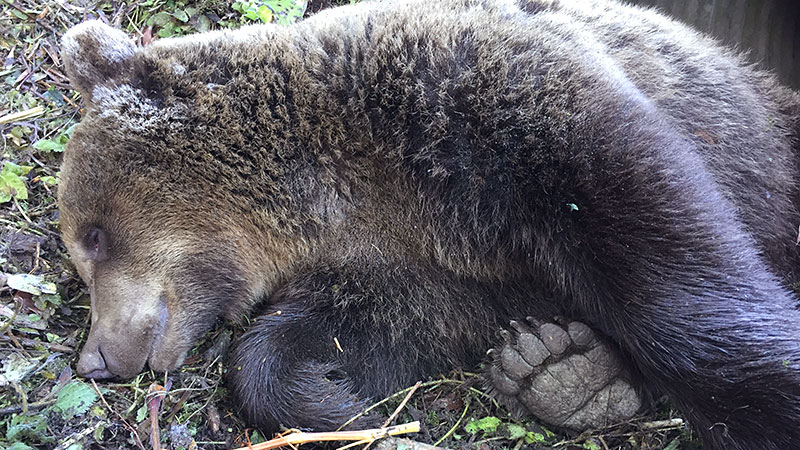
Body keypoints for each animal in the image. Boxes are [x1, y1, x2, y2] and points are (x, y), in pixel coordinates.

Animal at [57, 0, 800, 449]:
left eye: (94, 237)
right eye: (81, 251)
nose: (96, 358)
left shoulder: (489, 111)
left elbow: (661, 253)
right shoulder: (408, 268)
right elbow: (361, 335)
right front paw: (339, 407)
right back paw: (561, 369)